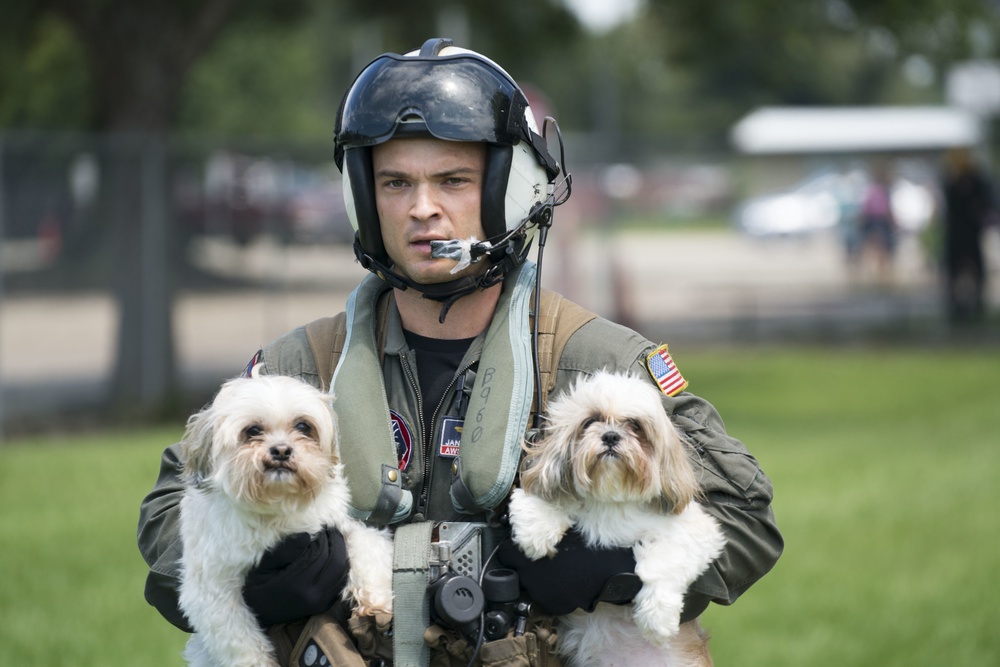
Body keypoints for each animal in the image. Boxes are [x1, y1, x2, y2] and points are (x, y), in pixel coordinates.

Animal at [178, 376, 392, 667]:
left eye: (303, 426)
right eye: (253, 430)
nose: (281, 450)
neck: (278, 505)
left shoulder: (339, 523)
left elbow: (368, 546)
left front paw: (376, 600)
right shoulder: (212, 587)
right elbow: (239, 639)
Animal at [512, 374, 724, 664]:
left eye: (635, 425)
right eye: (590, 421)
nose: (610, 435)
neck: (610, 497)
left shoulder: (696, 530)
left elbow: (665, 562)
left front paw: (657, 617)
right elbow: (541, 497)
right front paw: (536, 532)